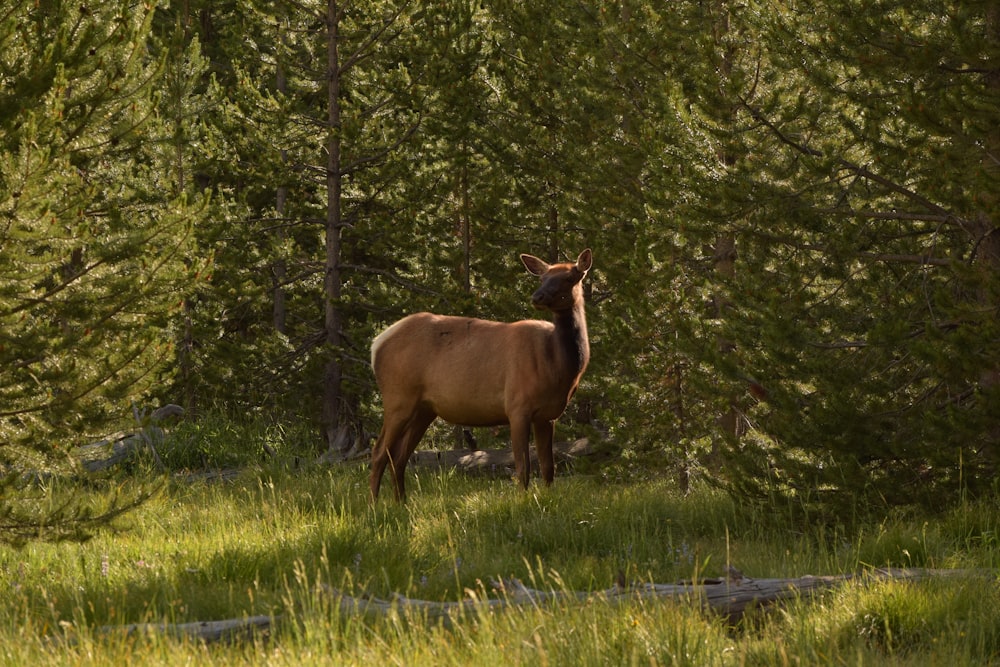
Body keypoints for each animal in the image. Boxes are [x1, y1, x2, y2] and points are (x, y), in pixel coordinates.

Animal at [374, 249, 592, 500]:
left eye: (568, 277)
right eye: (542, 278)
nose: (537, 296)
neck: (557, 367)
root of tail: (376, 344)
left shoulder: (548, 415)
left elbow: (548, 468)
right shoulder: (517, 406)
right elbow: (523, 467)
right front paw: (523, 501)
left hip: (423, 409)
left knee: (399, 457)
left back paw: (401, 503)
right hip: (398, 398)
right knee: (378, 453)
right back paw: (374, 504)